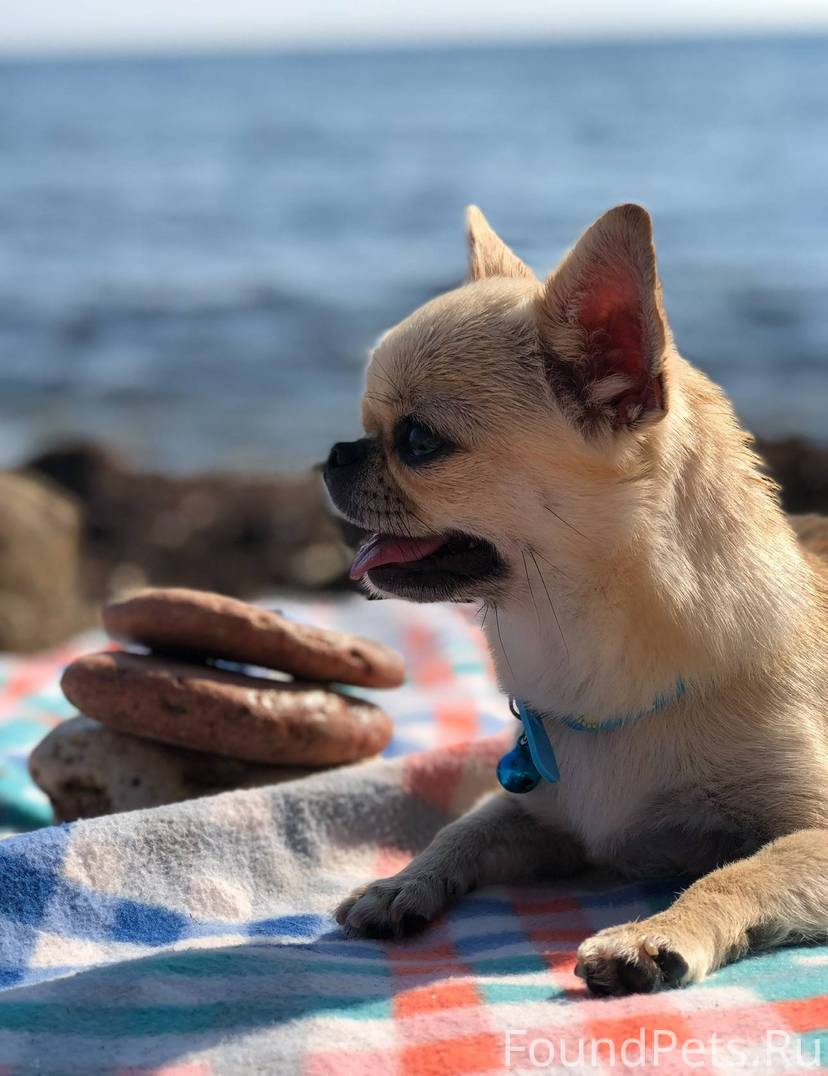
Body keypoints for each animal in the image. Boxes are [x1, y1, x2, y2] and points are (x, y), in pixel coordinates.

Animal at [323, 204, 828, 995]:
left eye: (418, 441)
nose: (335, 454)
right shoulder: (542, 817)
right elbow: (463, 827)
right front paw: (401, 882)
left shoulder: (812, 832)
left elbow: (736, 873)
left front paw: (654, 932)